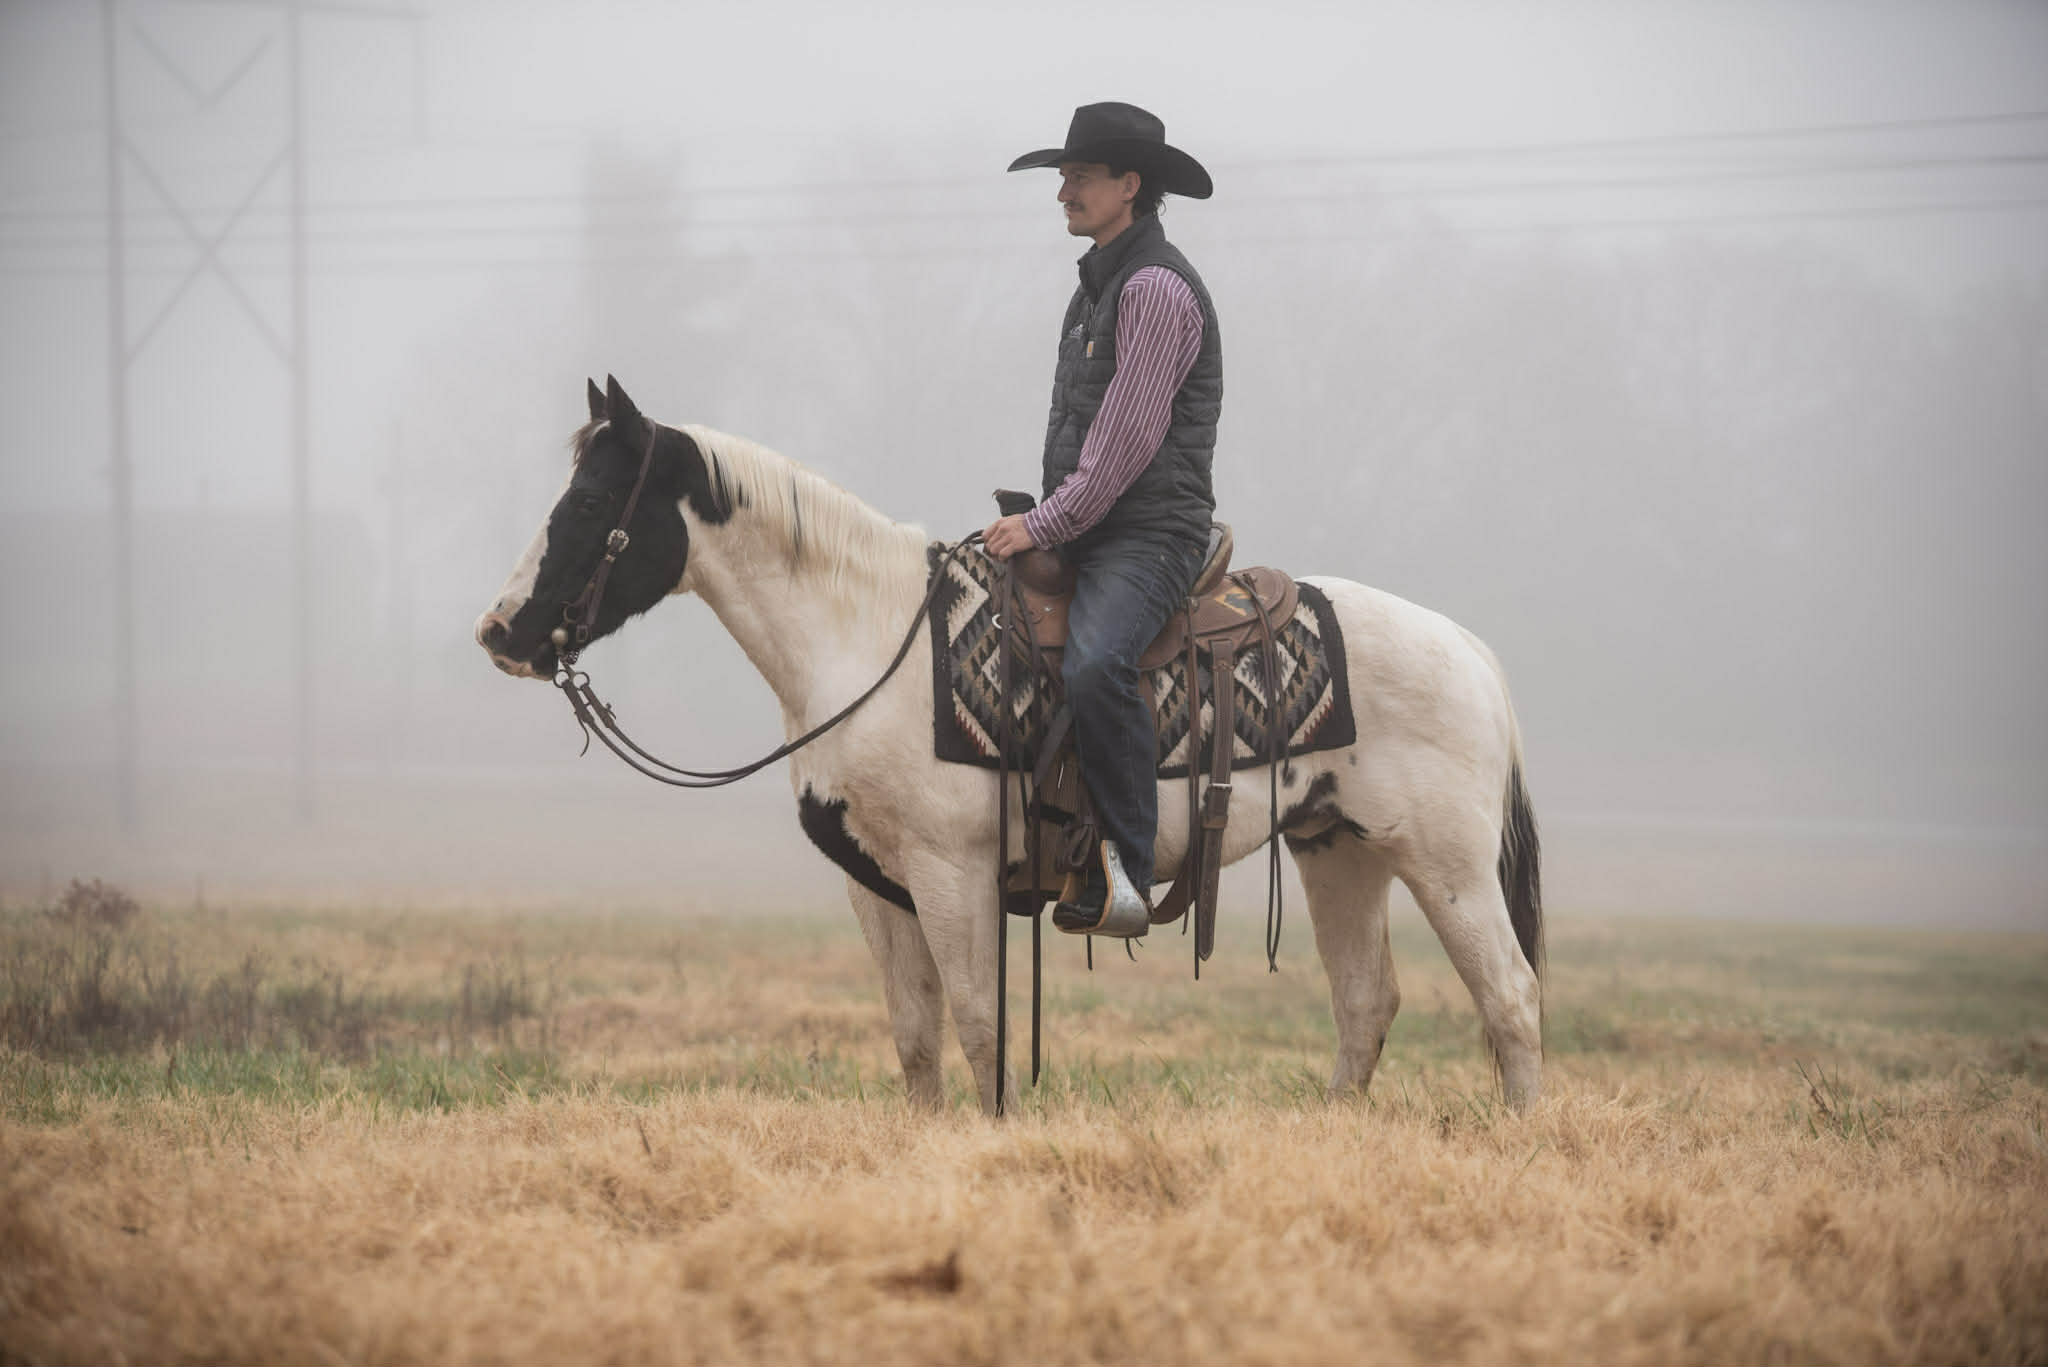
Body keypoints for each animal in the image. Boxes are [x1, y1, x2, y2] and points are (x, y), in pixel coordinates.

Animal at [475, 377, 1544, 1116]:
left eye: (586, 507)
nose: (500, 632)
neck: (868, 641)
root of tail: (1475, 653)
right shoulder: (877, 884)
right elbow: (916, 1036)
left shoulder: (955, 875)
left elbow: (981, 1027)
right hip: (1340, 850)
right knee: (1366, 1003)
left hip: (1445, 864)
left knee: (1510, 996)